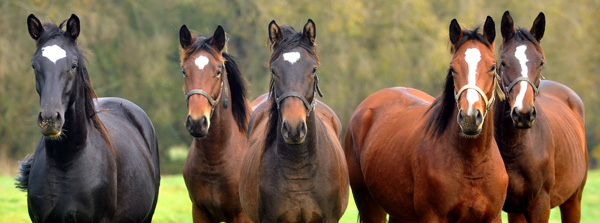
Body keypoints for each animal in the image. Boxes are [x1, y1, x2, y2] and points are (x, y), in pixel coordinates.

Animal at [344, 16, 508, 222]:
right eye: (453, 68)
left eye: (492, 66)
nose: (470, 117)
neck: (472, 164)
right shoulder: (432, 216)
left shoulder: (493, 217)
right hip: (370, 206)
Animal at [494, 11, 588, 222]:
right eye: (503, 62)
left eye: (541, 62)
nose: (523, 113)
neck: (514, 147)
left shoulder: (540, 205)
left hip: (573, 200)